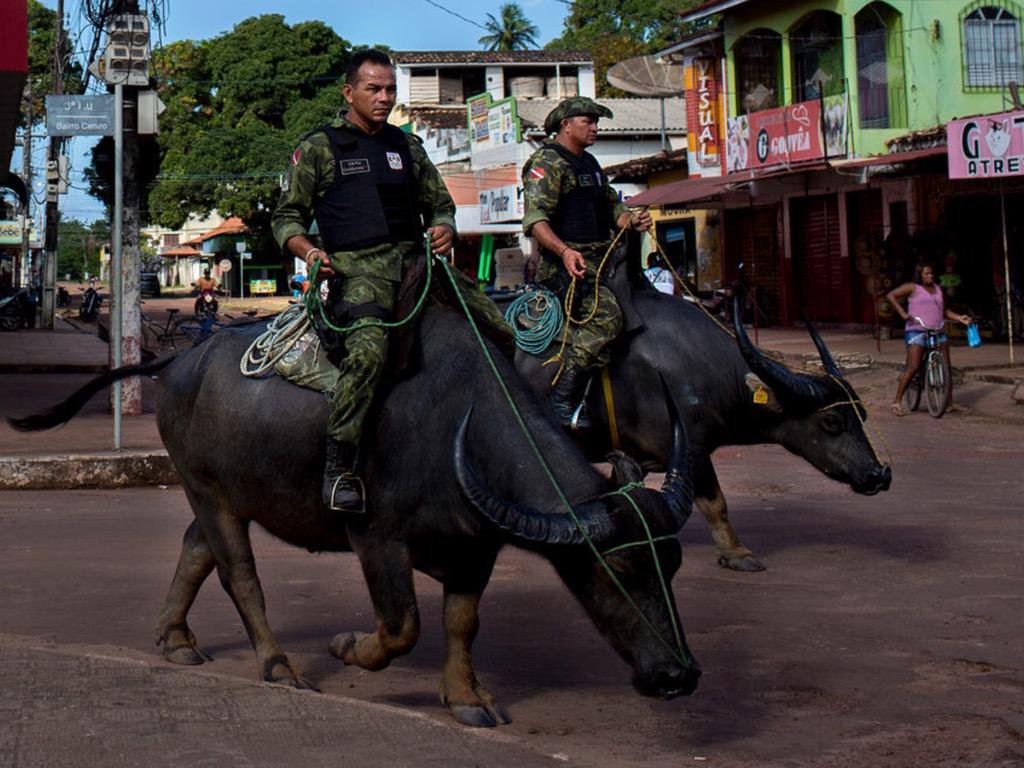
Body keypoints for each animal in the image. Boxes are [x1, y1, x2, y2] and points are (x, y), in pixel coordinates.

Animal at [14, 305, 704, 729]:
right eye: (614, 572)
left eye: (671, 565)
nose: (677, 676)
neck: (455, 427)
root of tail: (179, 362)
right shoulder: (377, 540)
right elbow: (401, 628)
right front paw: (345, 648)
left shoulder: (476, 548)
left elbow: (462, 623)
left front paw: (467, 698)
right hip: (205, 487)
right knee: (238, 571)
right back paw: (278, 665)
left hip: (225, 492)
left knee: (194, 548)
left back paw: (177, 640)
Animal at [516, 290, 892, 573]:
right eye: (832, 422)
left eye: (860, 415)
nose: (878, 474)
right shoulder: (692, 451)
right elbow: (716, 502)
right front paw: (737, 554)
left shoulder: (634, 458)